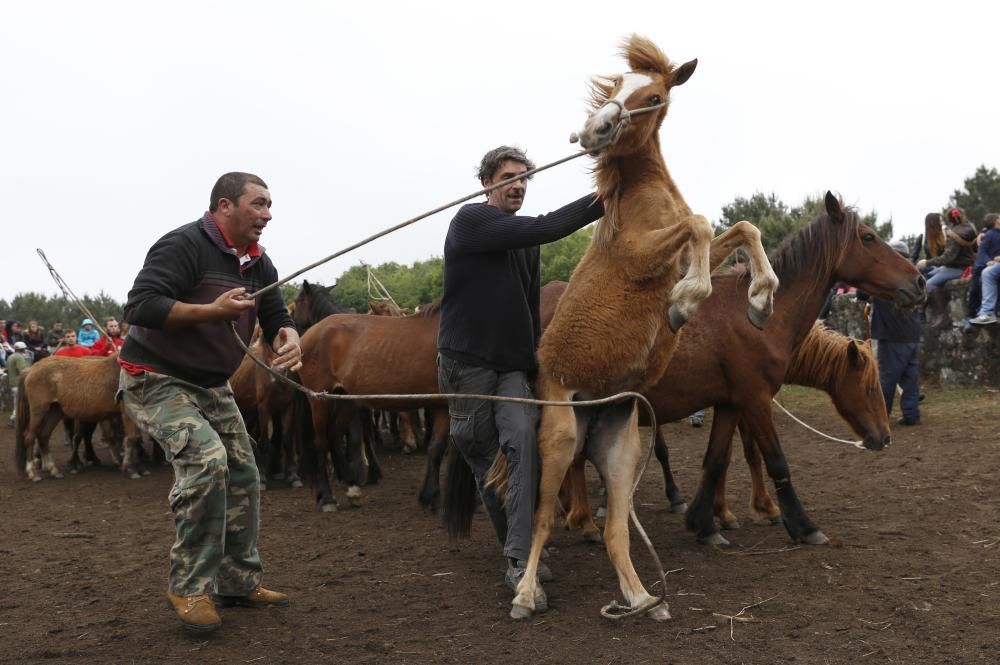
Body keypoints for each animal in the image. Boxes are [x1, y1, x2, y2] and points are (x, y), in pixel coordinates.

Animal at [15, 356, 146, 480]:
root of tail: (31, 369)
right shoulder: (127, 412)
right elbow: (131, 437)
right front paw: (131, 469)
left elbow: (137, 438)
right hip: (39, 411)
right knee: (29, 437)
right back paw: (33, 473)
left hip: (54, 411)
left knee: (43, 436)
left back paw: (54, 470)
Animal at [488, 35, 776, 616]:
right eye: (616, 85)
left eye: (654, 94)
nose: (597, 129)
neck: (644, 197)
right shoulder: (643, 257)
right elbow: (702, 225)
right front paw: (685, 304)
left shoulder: (686, 250)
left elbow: (740, 227)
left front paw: (759, 299)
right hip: (559, 441)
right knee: (543, 518)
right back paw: (527, 594)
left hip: (621, 449)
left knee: (616, 530)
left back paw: (642, 597)